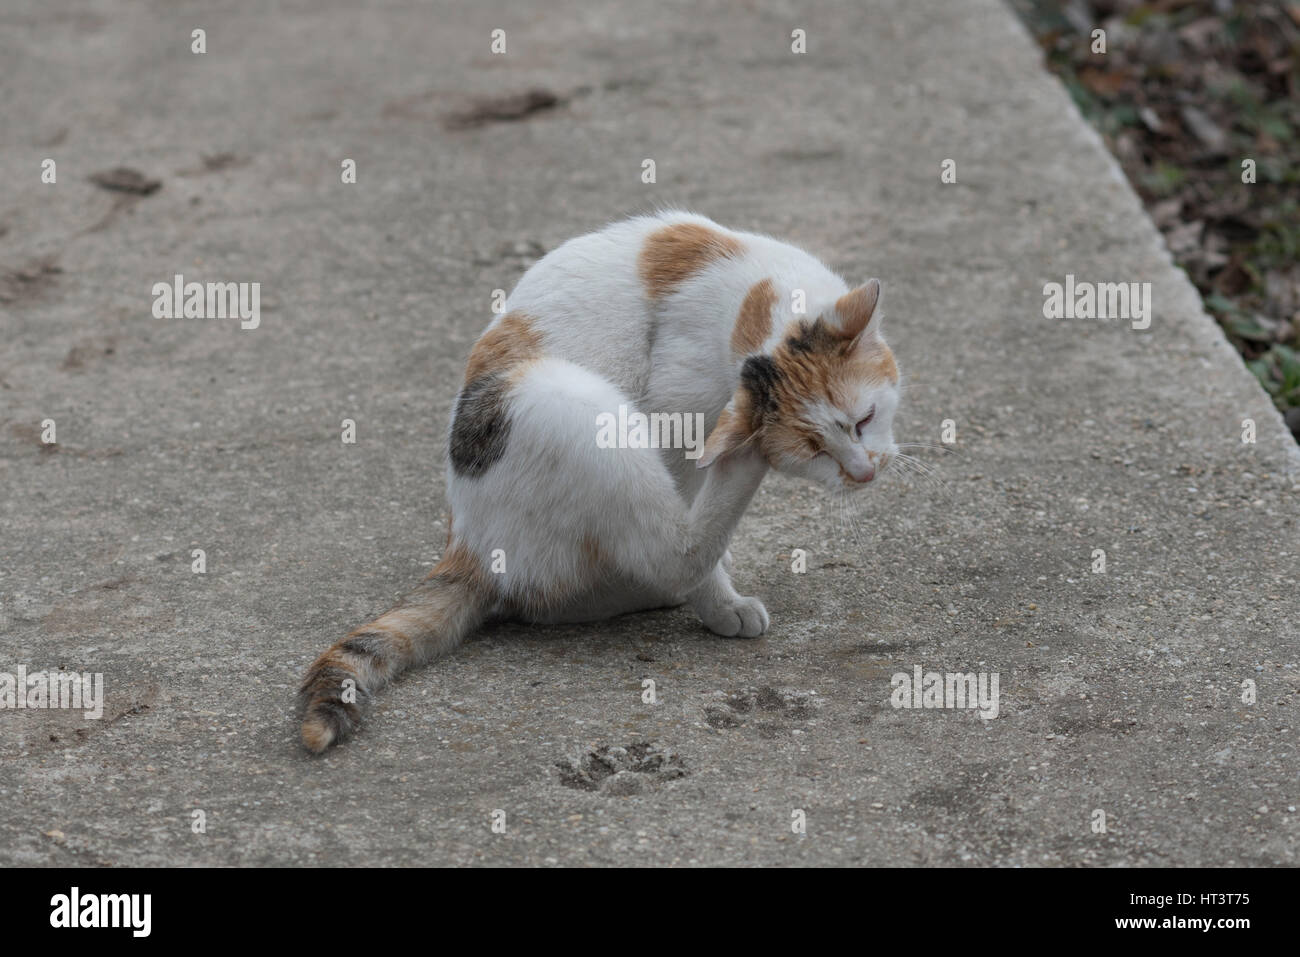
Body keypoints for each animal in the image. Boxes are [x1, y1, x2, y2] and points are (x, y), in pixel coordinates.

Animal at [297, 210, 899, 754]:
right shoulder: (671, 417)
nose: (865, 472)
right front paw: (720, 602)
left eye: (866, 418)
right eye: (813, 450)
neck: (751, 304)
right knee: (666, 555)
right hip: (568, 400)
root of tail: (463, 543)